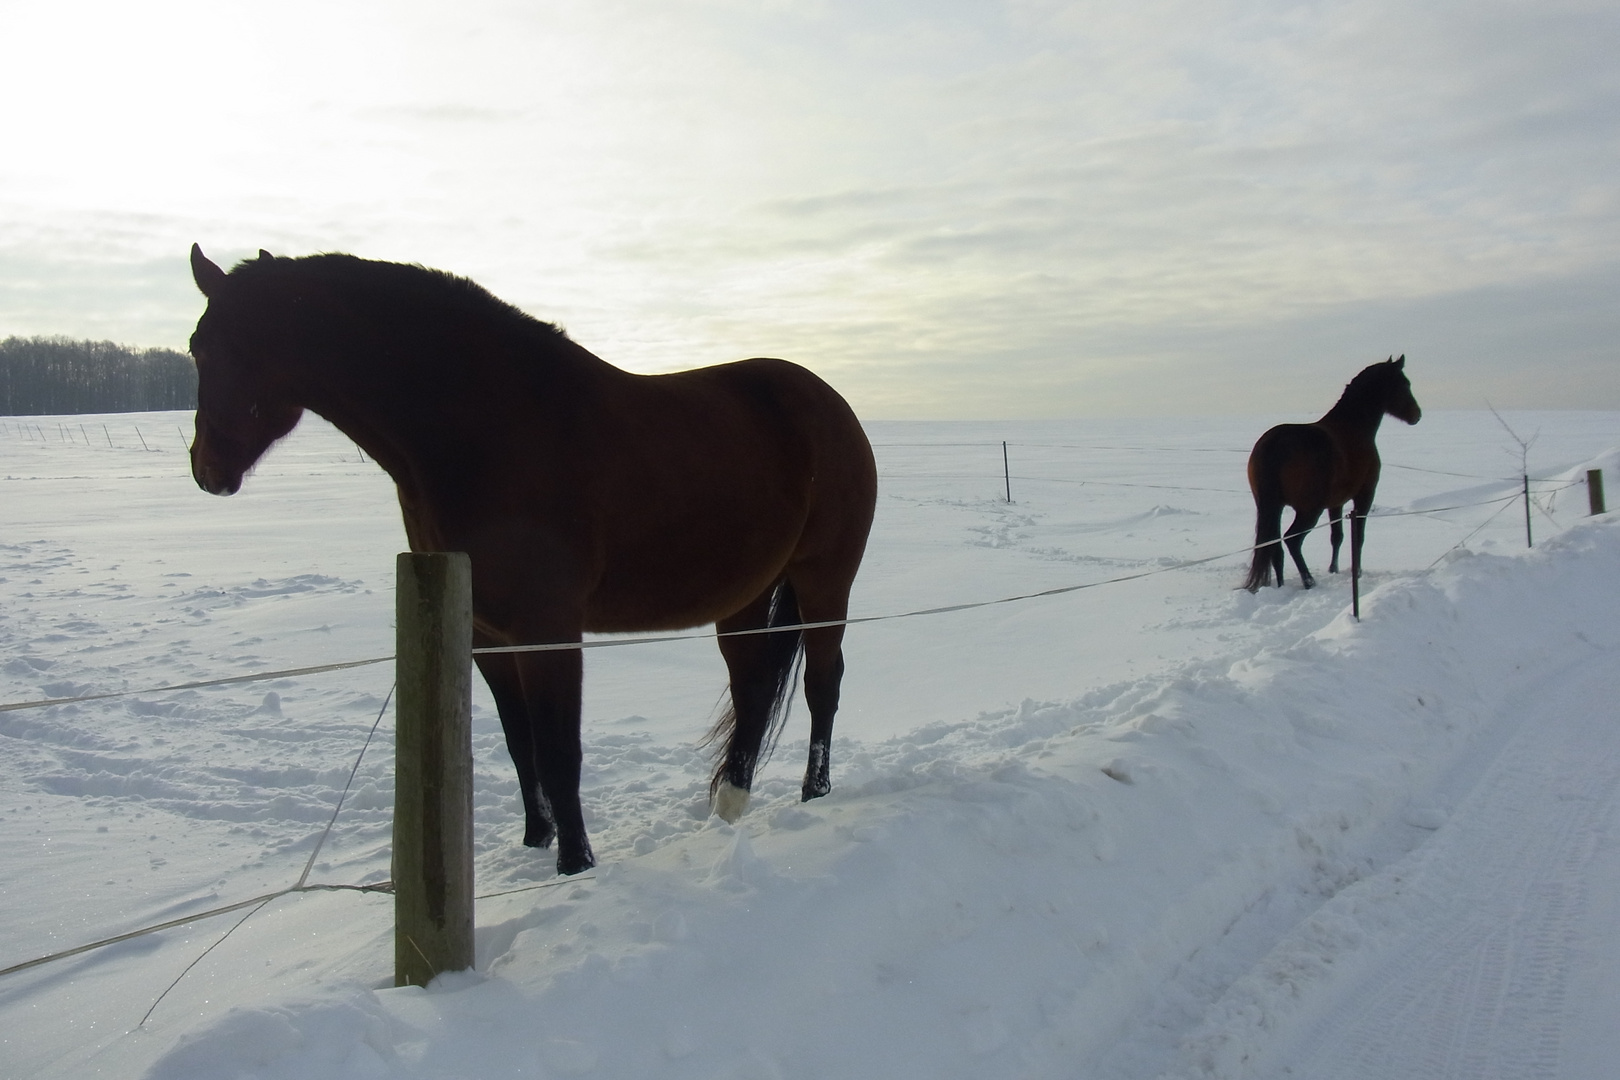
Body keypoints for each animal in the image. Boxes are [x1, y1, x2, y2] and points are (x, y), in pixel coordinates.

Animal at [183, 247, 881, 880]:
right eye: (195, 346)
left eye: (219, 348)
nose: (207, 469)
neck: (487, 429)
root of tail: (828, 401)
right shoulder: (483, 635)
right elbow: (521, 745)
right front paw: (534, 843)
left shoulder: (548, 629)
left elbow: (558, 749)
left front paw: (576, 866)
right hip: (741, 595)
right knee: (754, 688)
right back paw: (730, 805)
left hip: (824, 580)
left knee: (823, 685)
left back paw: (814, 795)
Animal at [1237, 354, 1419, 592]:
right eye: (1405, 384)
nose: (1417, 414)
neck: (1353, 427)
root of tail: (1274, 443)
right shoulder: (1364, 495)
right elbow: (1358, 535)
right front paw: (1356, 572)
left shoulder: (1336, 503)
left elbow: (1337, 536)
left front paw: (1334, 569)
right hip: (1309, 510)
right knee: (1292, 540)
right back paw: (1308, 581)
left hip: (1272, 507)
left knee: (1276, 547)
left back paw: (1282, 585)